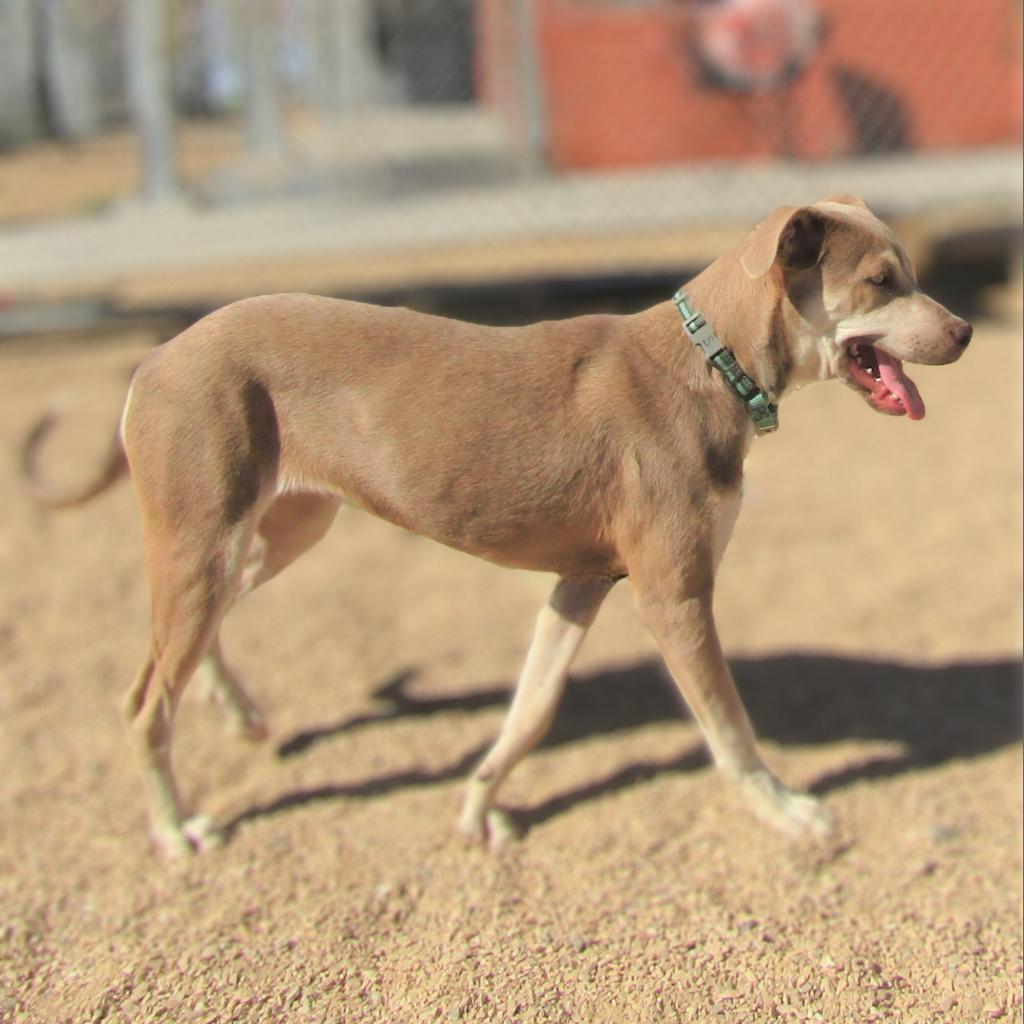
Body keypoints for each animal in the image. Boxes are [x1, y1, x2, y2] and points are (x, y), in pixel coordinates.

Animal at [22, 197, 966, 856]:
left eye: (908, 273)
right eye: (882, 281)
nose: (961, 331)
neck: (712, 361)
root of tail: (158, 355)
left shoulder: (582, 583)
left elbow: (530, 710)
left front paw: (478, 805)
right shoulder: (674, 597)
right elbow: (729, 730)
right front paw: (790, 814)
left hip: (275, 532)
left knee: (191, 643)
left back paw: (239, 713)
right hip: (202, 542)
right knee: (145, 700)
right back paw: (176, 828)